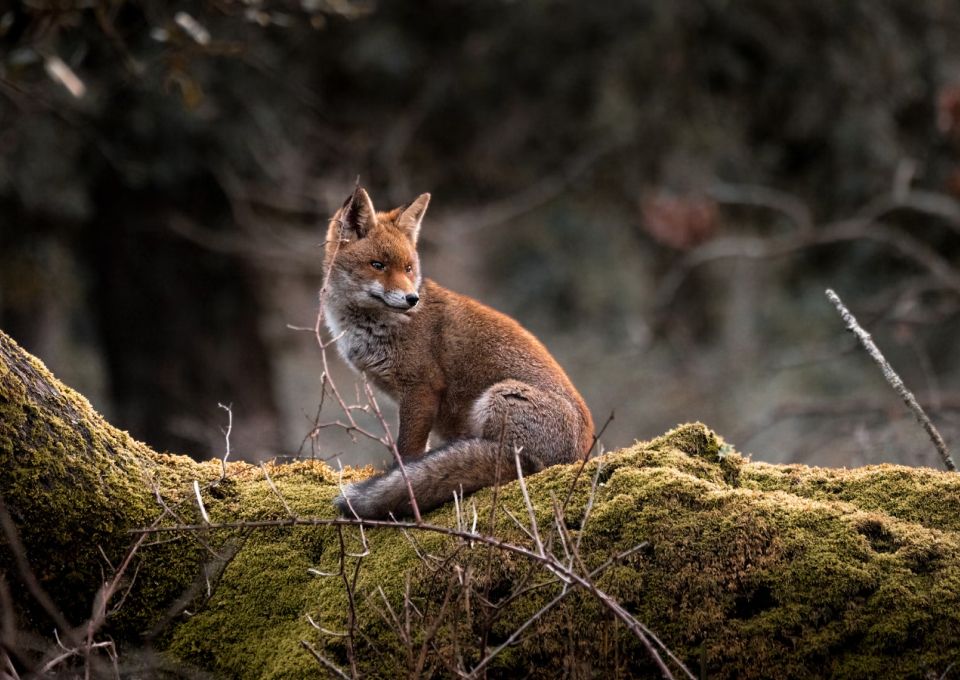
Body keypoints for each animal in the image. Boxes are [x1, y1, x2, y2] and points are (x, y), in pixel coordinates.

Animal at [324, 185, 592, 516]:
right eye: (378, 265)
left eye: (408, 268)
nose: (411, 299)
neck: (372, 328)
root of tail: (580, 456)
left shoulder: (422, 388)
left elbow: (407, 453)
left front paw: (402, 481)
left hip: (499, 398)